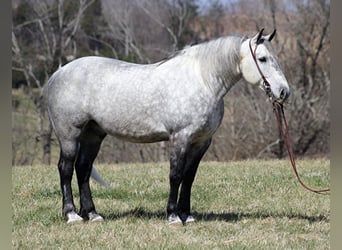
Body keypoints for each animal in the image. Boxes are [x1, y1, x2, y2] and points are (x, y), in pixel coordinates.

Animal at [45, 28, 290, 225]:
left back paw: (92, 214)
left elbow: (189, 177)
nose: (283, 92)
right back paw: (72, 215)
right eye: (262, 58)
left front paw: (187, 215)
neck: (202, 80)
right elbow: (175, 175)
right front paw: (173, 216)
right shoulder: (180, 137)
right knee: (65, 169)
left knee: (83, 169)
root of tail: (59, 72)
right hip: (70, 135)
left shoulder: (201, 142)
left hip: (93, 135)